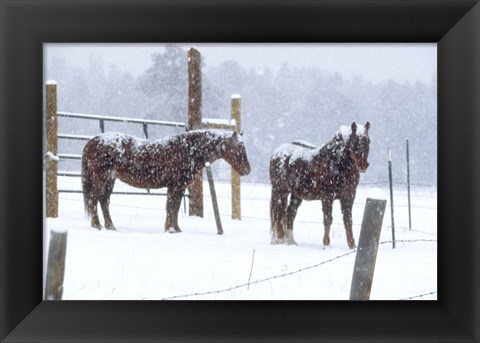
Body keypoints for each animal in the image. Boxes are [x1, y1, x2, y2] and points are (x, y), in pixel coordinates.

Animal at [81, 130, 251, 232]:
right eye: (239, 147)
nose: (247, 170)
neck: (188, 149)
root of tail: (92, 141)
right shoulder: (175, 186)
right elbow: (171, 207)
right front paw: (170, 229)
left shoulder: (179, 187)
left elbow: (174, 208)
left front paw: (175, 229)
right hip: (101, 179)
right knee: (94, 200)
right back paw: (97, 225)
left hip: (109, 180)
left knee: (103, 201)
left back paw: (110, 226)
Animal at [270, 121, 372, 250]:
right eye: (354, 141)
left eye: (368, 141)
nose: (363, 165)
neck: (336, 164)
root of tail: (276, 153)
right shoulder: (327, 197)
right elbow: (328, 219)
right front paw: (326, 245)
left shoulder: (349, 196)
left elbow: (348, 220)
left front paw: (352, 246)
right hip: (280, 191)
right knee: (279, 213)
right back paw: (280, 240)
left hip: (296, 195)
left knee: (290, 213)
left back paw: (291, 242)